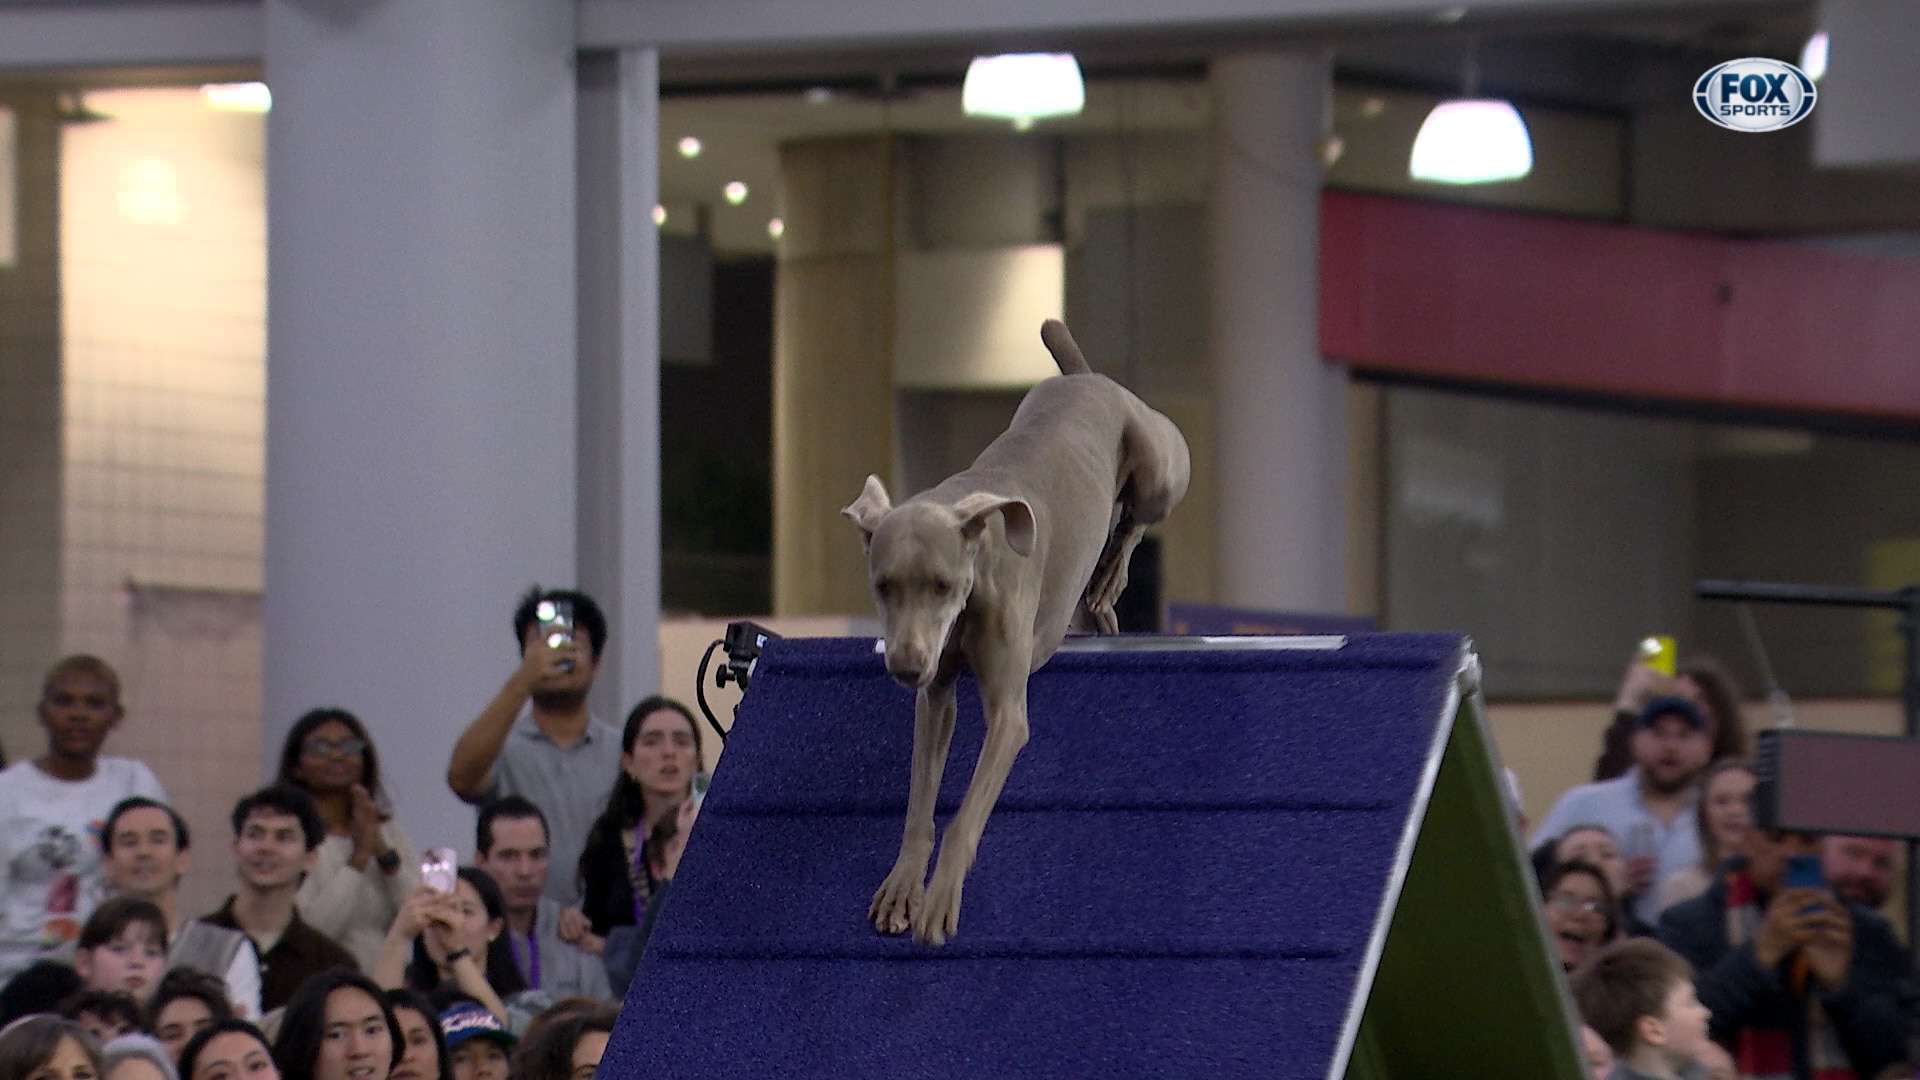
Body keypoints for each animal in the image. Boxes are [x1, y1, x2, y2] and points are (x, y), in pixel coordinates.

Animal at [840, 315, 1182, 937]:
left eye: (943, 585)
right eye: (883, 586)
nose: (906, 665)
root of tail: (1088, 378)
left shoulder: (1008, 715)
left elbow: (967, 811)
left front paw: (940, 899)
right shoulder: (937, 697)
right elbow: (920, 801)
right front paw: (903, 888)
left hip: (1159, 469)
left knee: (1137, 517)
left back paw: (1109, 579)